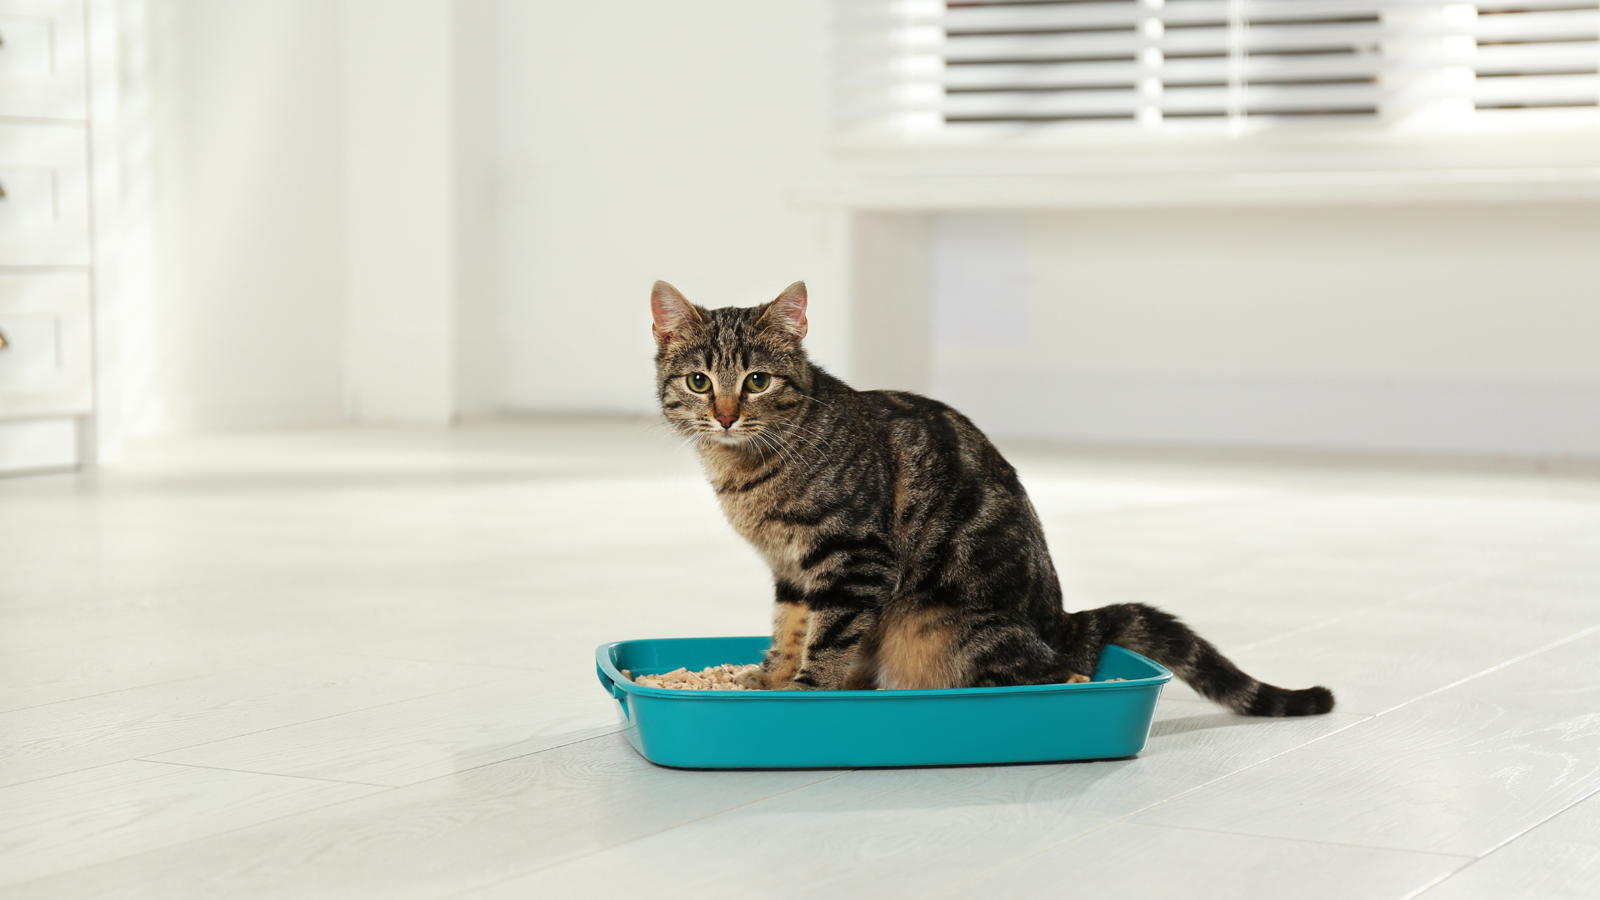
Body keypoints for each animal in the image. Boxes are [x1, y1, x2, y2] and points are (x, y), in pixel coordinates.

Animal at [649, 277, 1337, 711]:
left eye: (757, 381)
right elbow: (790, 627)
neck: (747, 470)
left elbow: (831, 636)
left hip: (945, 626)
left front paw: (806, 692)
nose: (726, 415)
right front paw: (769, 676)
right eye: (699, 380)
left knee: (1057, 674)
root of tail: (1063, 623)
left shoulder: (853, 558)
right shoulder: (793, 570)